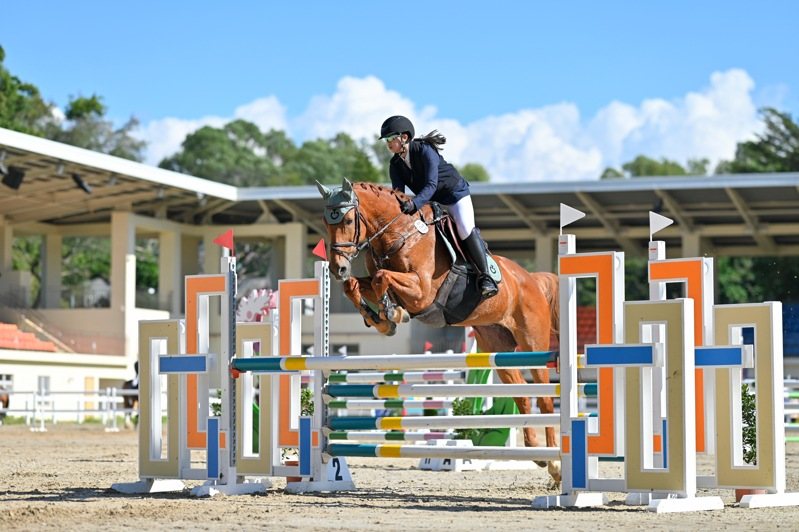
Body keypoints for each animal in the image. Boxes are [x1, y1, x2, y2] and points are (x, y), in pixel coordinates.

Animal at [314, 180, 564, 482]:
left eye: (349, 220)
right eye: (325, 221)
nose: (337, 268)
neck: (400, 235)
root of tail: (533, 280)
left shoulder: (422, 292)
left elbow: (381, 278)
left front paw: (392, 313)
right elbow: (355, 285)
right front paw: (381, 319)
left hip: (532, 344)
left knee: (545, 400)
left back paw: (556, 466)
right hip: (498, 348)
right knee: (524, 398)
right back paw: (538, 455)